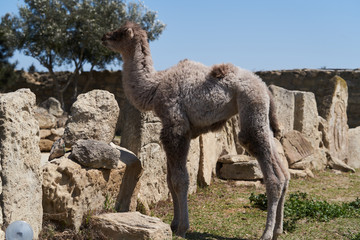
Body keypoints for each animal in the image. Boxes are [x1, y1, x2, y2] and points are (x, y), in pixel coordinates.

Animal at [101, 21, 290, 239]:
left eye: (121, 32)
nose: (104, 36)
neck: (155, 87)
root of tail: (265, 88)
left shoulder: (176, 128)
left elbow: (180, 180)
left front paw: (183, 227)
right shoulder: (176, 133)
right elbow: (169, 180)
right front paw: (174, 224)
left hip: (251, 107)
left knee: (272, 174)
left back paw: (266, 233)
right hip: (262, 119)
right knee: (284, 172)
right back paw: (278, 230)